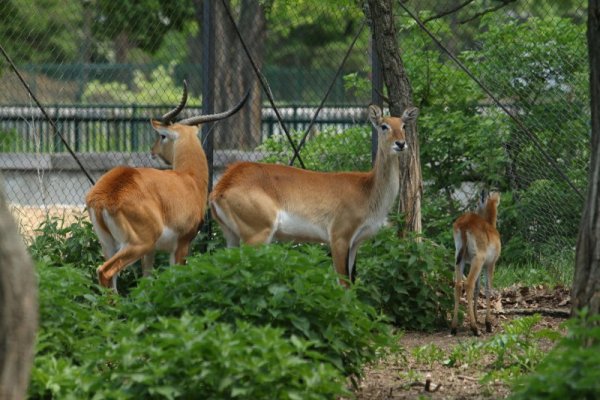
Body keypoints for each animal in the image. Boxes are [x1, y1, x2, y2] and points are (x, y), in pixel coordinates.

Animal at [84, 81, 248, 290]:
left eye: (162, 136)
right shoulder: (182, 244)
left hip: (110, 245)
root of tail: (105, 195)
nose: (152, 151)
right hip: (138, 244)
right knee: (105, 272)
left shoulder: (151, 252)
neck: (189, 179)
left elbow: (146, 281)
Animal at [209, 103, 420, 284]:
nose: (401, 144)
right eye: (384, 126)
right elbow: (343, 284)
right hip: (257, 235)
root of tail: (222, 186)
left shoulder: (355, 243)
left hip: (231, 236)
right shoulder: (338, 237)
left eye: (403, 125)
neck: (367, 189)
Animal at [452, 192, 500, 336]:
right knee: (468, 284)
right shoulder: (490, 264)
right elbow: (488, 288)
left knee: (458, 285)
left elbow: (478, 288)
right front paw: (488, 323)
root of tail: (464, 224)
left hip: (459, 259)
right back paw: (475, 329)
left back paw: (454, 327)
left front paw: (477, 317)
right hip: (477, 259)